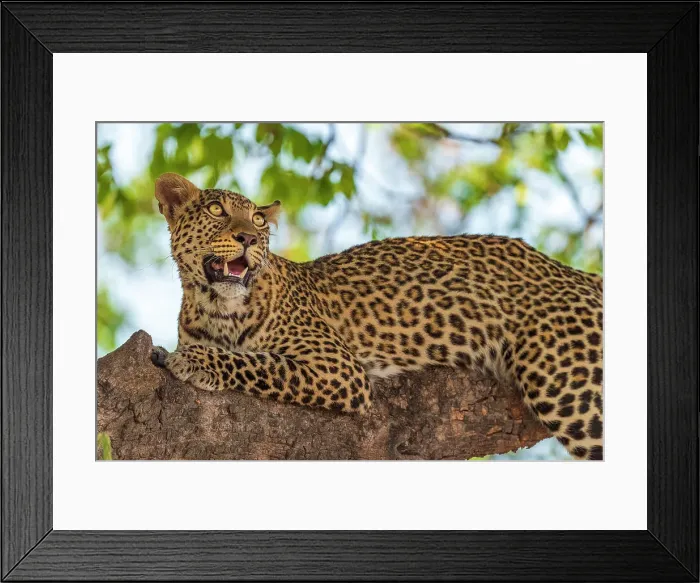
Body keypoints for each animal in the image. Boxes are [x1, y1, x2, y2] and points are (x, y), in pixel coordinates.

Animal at [151, 172, 604, 460]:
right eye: (216, 211)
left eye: (259, 220)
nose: (248, 237)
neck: (214, 307)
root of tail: (575, 273)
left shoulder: (339, 369)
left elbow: (259, 362)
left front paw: (193, 360)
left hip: (563, 383)